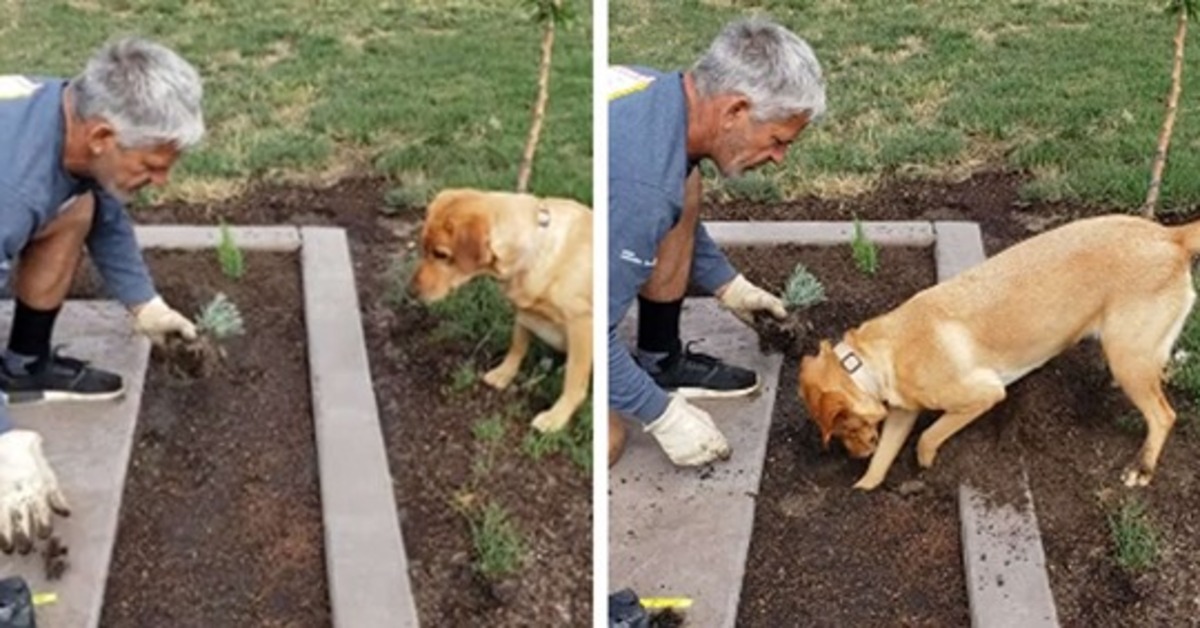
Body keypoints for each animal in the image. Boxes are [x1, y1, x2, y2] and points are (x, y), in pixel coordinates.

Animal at [410, 188, 592, 432]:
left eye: (441, 254)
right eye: (423, 246)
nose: (411, 291)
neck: (534, 253)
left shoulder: (582, 324)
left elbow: (574, 379)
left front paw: (557, 416)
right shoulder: (524, 313)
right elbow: (517, 346)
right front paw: (504, 373)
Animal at [796, 216, 1200, 492]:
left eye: (842, 428)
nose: (853, 457)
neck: (879, 356)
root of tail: (1171, 235)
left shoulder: (983, 395)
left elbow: (929, 435)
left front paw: (925, 463)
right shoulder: (902, 413)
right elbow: (884, 458)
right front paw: (864, 486)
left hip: (1128, 357)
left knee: (1163, 415)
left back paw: (1142, 467)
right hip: (1135, 354)